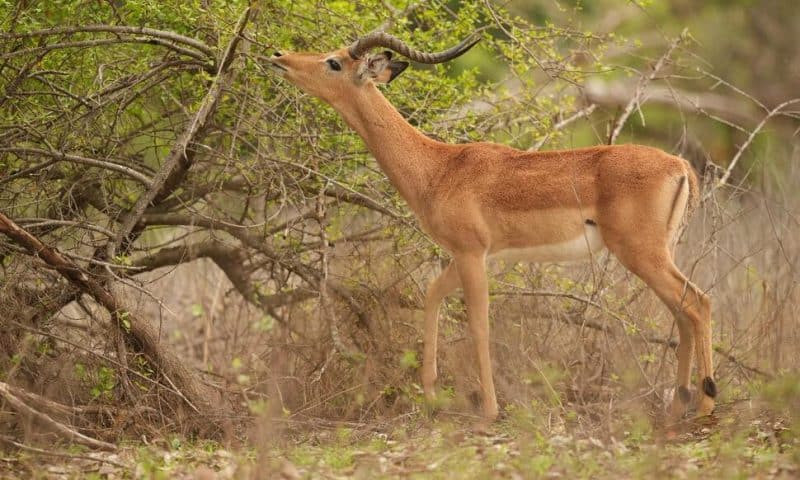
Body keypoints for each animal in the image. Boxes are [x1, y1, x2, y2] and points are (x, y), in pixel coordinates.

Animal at [266, 30, 716, 422]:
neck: (438, 168)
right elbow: (432, 295)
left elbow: (479, 326)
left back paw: (705, 405)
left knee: (697, 303)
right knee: (683, 313)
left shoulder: (471, 254)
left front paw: (489, 410)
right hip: (658, 254)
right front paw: (431, 397)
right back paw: (678, 406)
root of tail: (679, 166)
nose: (279, 57)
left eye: (334, 62)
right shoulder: (464, 255)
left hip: (641, 253)